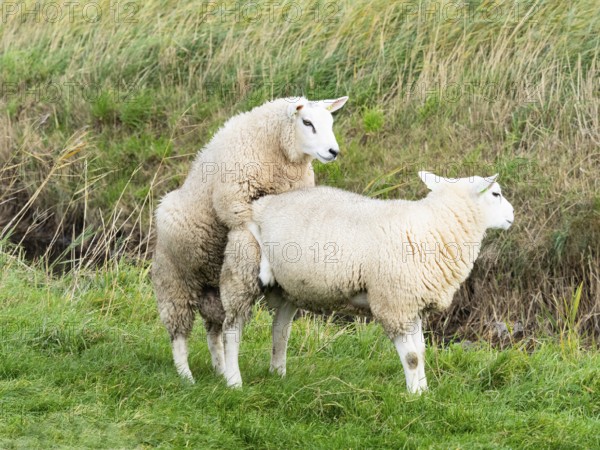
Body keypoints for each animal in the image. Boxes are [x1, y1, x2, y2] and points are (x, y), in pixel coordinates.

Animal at [152, 96, 350, 384]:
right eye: (307, 122)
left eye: (330, 121)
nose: (333, 151)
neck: (279, 153)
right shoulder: (233, 203)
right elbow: (255, 228)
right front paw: (266, 269)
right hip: (175, 278)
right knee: (179, 332)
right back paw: (187, 376)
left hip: (214, 293)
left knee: (215, 330)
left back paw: (220, 369)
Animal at [220, 171, 516, 392]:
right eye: (496, 193)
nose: (512, 216)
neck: (433, 227)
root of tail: (259, 204)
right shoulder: (394, 303)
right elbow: (411, 357)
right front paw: (414, 397)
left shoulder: (412, 304)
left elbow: (420, 351)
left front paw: (424, 391)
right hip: (242, 270)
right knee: (231, 329)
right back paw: (233, 381)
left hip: (287, 288)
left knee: (280, 330)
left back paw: (277, 374)